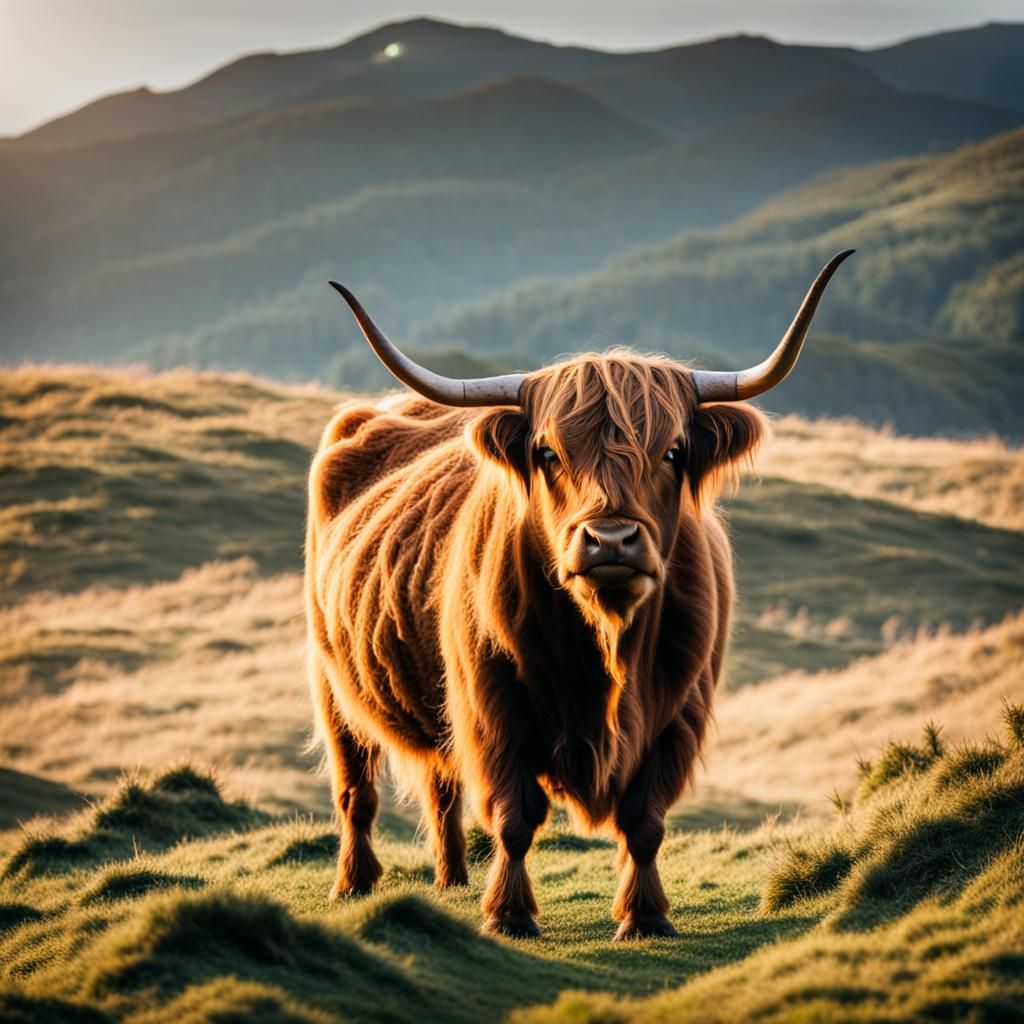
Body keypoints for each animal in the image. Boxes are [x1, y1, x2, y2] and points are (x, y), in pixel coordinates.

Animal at [305, 251, 853, 939]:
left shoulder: (678, 713)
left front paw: (644, 916)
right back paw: (353, 883)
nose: (610, 540)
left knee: (440, 786)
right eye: (548, 452)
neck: (605, 646)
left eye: (672, 451)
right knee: (357, 789)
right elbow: (514, 818)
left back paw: (451, 878)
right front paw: (510, 914)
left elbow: (644, 822)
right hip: (332, 682)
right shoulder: (493, 706)